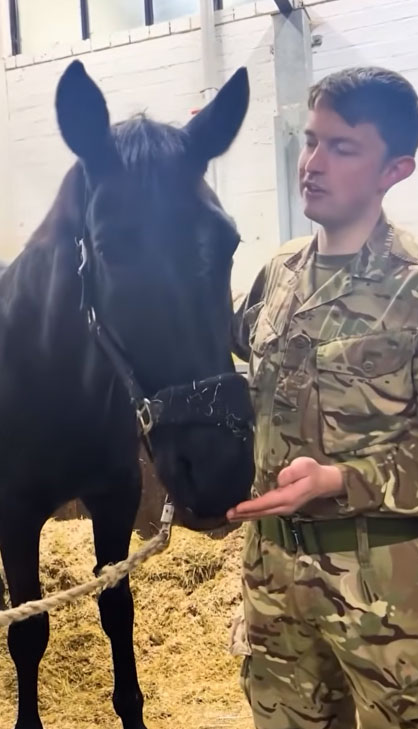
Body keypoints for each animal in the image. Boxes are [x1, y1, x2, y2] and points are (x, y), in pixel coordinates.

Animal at [0, 60, 255, 729]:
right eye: (110, 247)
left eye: (229, 242)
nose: (219, 468)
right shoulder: (14, 515)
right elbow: (27, 631)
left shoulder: (115, 499)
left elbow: (118, 611)